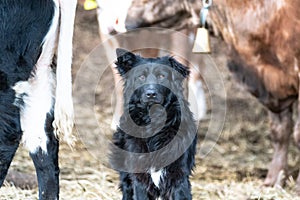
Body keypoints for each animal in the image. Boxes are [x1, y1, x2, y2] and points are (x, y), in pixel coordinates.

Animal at [110, 48, 197, 200]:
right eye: (141, 77)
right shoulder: (139, 179)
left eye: (162, 76)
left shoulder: (179, 178)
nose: (151, 94)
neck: (153, 123)